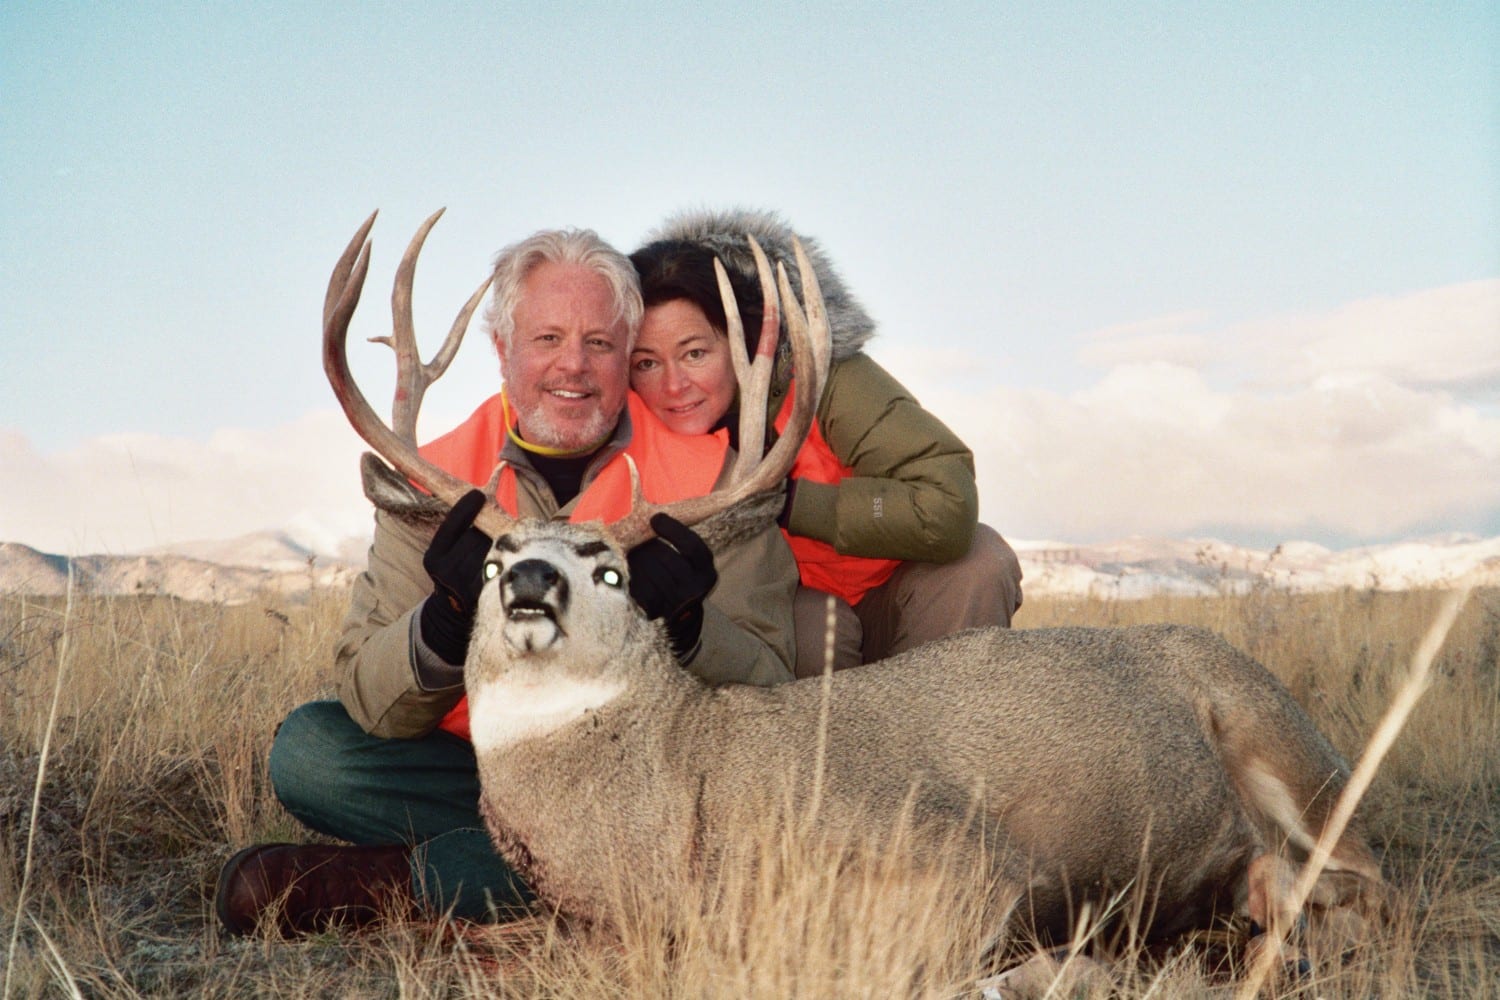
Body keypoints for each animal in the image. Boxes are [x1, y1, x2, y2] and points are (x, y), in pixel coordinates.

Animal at [322, 210, 1385, 987]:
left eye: (613, 568)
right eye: (487, 561)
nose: (533, 583)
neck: (679, 800)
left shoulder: (957, 852)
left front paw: (1063, 962)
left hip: (1289, 742)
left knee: (1362, 881)